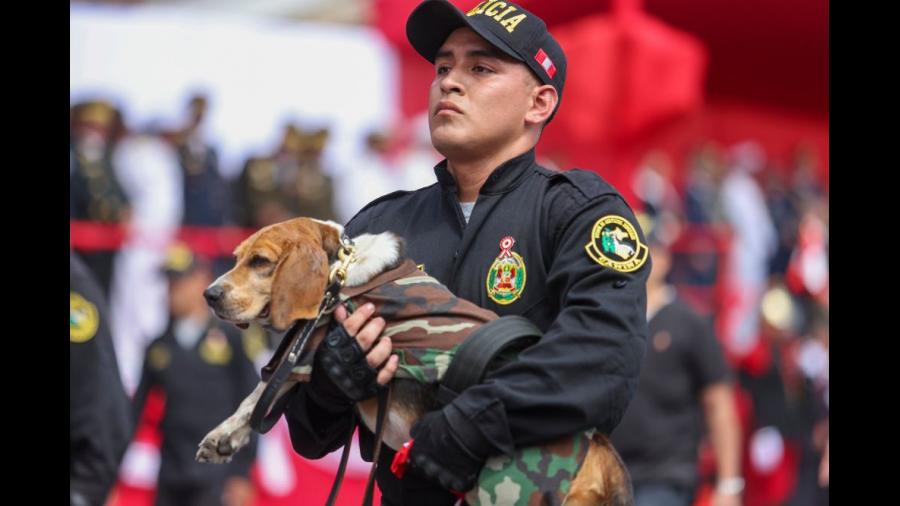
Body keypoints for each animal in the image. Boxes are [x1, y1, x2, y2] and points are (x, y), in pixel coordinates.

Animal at [197, 217, 632, 506]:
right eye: (236, 257)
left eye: (260, 262)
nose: (210, 295)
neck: (342, 268)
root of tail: (604, 457)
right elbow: (254, 403)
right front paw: (224, 439)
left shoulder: (304, 350)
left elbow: (257, 394)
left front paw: (223, 435)